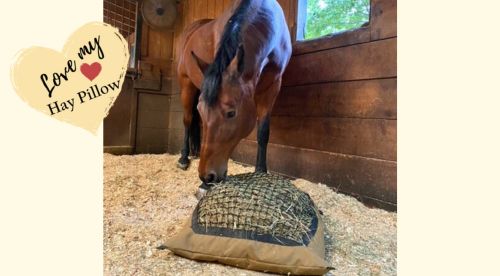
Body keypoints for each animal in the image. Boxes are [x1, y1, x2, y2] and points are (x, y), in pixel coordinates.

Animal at [178, 0, 292, 185]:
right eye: (201, 111)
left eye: (231, 113)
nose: (206, 176)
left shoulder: (272, 87)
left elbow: (263, 132)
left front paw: (261, 171)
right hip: (185, 84)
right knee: (187, 120)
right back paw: (183, 158)